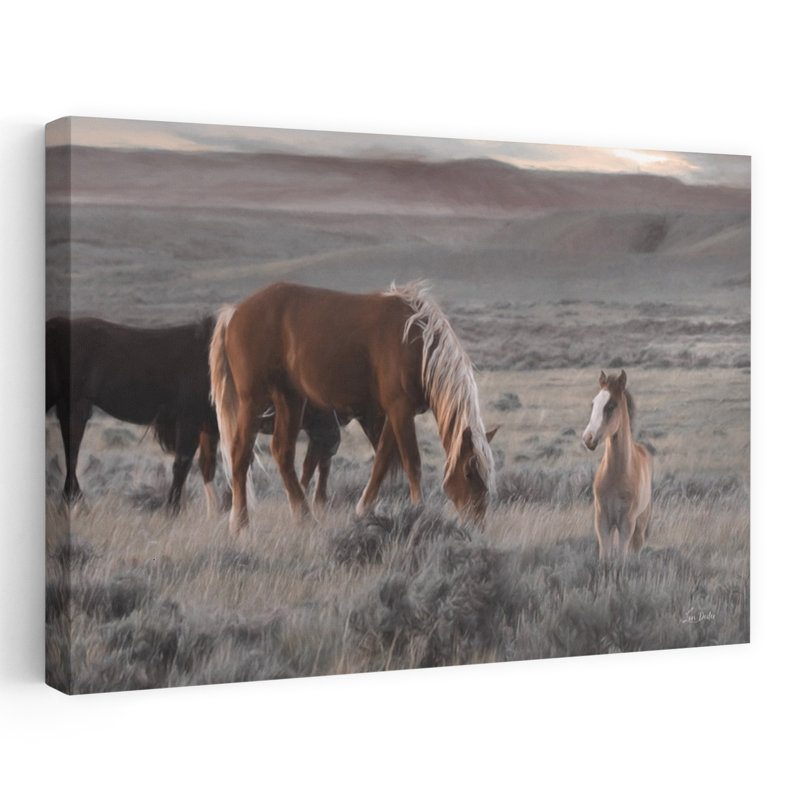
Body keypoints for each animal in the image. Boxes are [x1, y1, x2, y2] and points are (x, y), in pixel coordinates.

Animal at [209, 281, 497, 533]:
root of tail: (235, 313)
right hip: (252, 401)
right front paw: (420, 510)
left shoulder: (394, 413)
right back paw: (241, 524)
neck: (417, 344)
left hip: (290, 399)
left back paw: (304, 518)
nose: (478, 524)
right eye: (469, 473)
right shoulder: (400, 410)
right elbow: (412, 462)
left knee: (282, 452)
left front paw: (363, 510)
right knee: (240, 454)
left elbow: (381, 461)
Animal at [582, 370, 652, 559]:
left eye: (611, 406)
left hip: (641, 521)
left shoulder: (626, 524)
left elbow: (621, 558)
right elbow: (604, 557)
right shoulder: (603, 520)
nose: (587, 438)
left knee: (637, 546)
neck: (616, 475)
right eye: (593, 404)